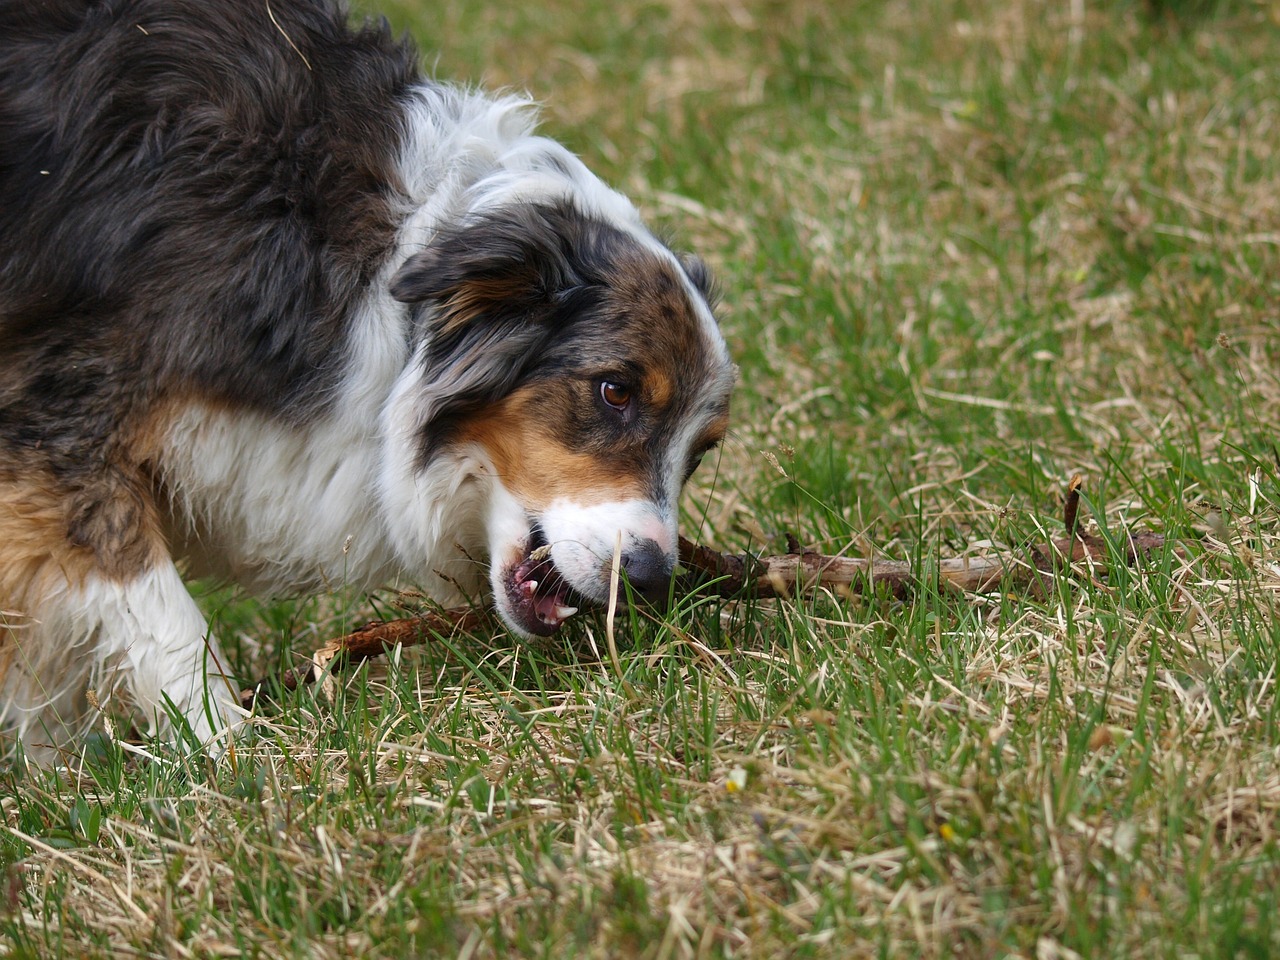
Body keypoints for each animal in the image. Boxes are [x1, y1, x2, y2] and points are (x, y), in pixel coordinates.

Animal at [0, 0, 737, 757]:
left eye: (700, 451)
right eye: (615, 393)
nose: (651, 580)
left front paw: (51, 767)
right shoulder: (56, 421)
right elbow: (162, 614)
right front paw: (234, 753)